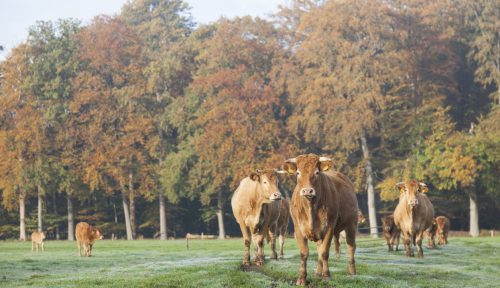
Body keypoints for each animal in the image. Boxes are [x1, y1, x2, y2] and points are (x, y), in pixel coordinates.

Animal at [284, 154, 358, 284]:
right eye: (298, 173)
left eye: (317, 172)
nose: (307, 190)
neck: (310, 208)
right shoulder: (298, 228)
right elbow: (304, 253)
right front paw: (302, 278)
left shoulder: (329, 228)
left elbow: (324, 252)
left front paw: (326, 276)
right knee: (319, 248)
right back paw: (318, 272)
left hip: (352, 224)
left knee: (351, 246)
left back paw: (352, 272)